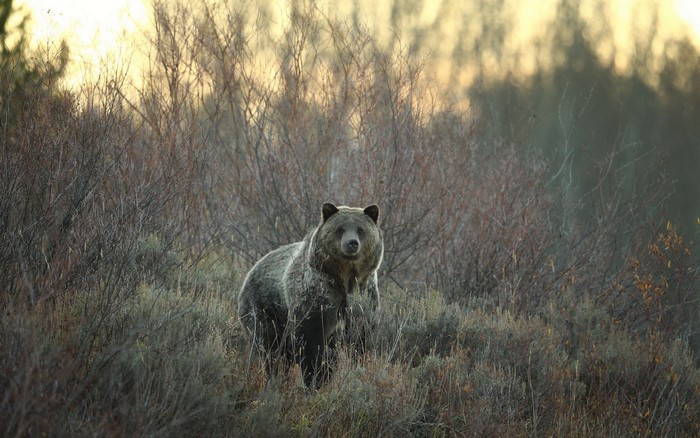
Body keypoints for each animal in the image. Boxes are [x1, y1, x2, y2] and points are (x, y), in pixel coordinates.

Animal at [237, 202, 383, 388]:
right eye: (340, 229)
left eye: (360, 229)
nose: (352, 243)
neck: (344, 278)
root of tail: (252, 269)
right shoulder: (317, 294)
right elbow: (311, 340)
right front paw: (316, 378)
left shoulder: (363, 294)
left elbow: (360, 336)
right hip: (264, 306)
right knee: (271, 347)